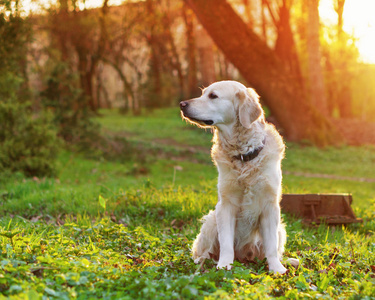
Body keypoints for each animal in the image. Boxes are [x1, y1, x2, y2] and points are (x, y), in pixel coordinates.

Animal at [180, 81, 300, 274]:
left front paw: (276, 268)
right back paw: (203, 262)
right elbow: (226, 243)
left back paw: (288, 261)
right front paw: (224, 265)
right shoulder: (225, 205)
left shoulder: (270, 205)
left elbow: (271, 246)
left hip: (281, 229)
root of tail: (244, 256)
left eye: (213, 96)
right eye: (203, 94)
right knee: (203, 251)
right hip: (211, 220)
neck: (244, 156)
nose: (182, 104)